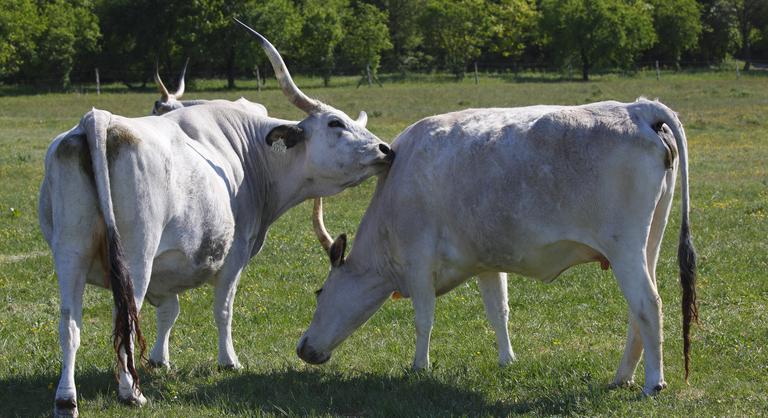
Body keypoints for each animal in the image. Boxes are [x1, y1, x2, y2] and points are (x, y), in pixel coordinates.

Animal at [39, 24, 392, 416]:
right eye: (335, 123)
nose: (386, 150)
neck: (253, 153)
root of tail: (100, 118)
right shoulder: (234, 255)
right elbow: (223, 309)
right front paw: (228, 361)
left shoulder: (167, 267)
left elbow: (169, 310)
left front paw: (160, 359)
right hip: (136, 257)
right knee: (126, 317)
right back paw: (131, 392)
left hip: (71, 252)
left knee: (70, 324)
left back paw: (66, 398)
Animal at [296, 99, 700, 396]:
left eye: (319, 293)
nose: (302, 347)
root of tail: (638, 108)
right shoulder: (486, 262)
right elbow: (498, 311)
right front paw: (507, 360)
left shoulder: (417, 261)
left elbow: (424, 318)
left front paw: (419, 368)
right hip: (649, 243)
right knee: (639, 309)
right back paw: (622, 376)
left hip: (625, 249)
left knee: (647, 303)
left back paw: (652, 383)